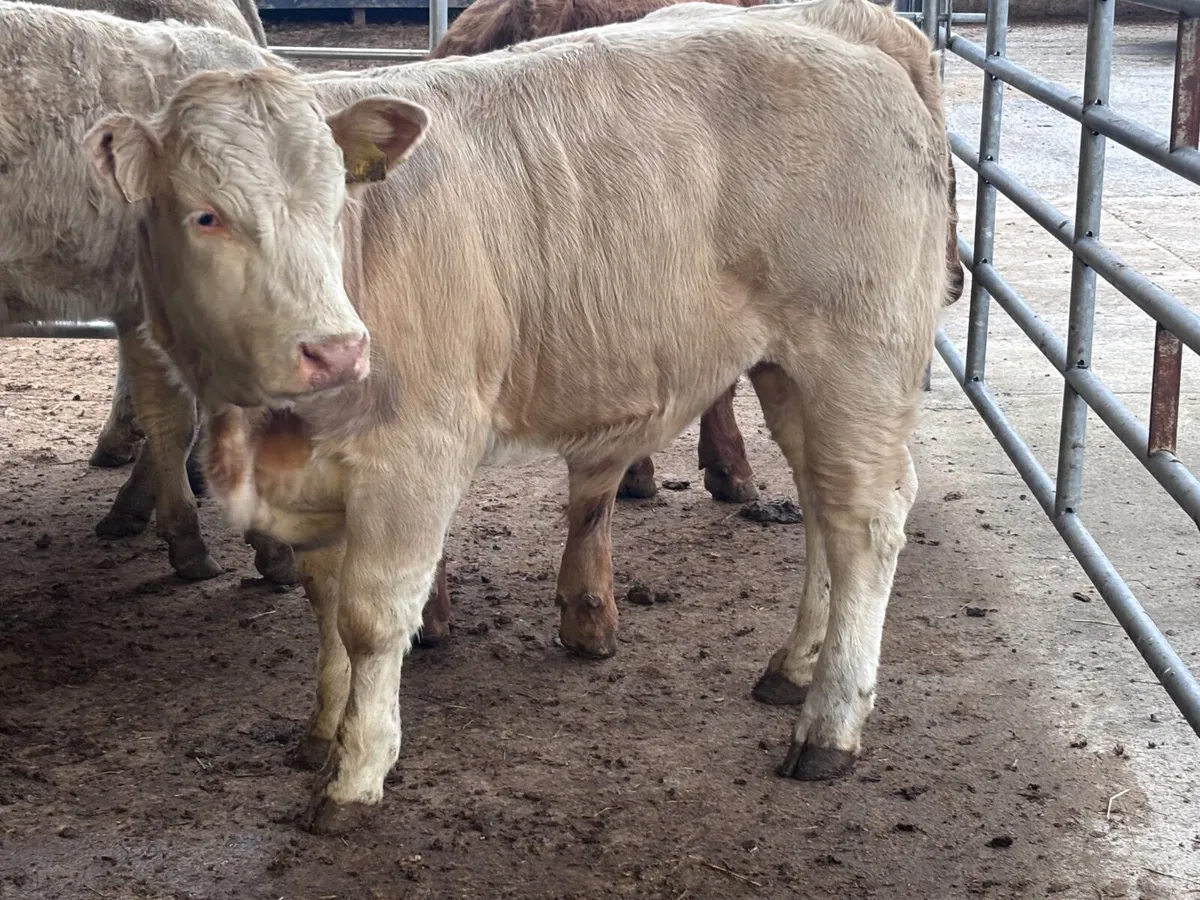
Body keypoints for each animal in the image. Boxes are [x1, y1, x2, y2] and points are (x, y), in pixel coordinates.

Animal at [85, 0, 955, 831]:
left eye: (335, 203)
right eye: (205, 215)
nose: (335, 350)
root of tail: (857, 45)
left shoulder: (415, 456)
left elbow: (370, 619)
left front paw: (357, 773)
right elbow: (324, 607)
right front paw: (320, 735)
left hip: (858, 353)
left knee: (866, 520)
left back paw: (830, 726)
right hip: (790, 370)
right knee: (823, 509)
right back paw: (794, 666)